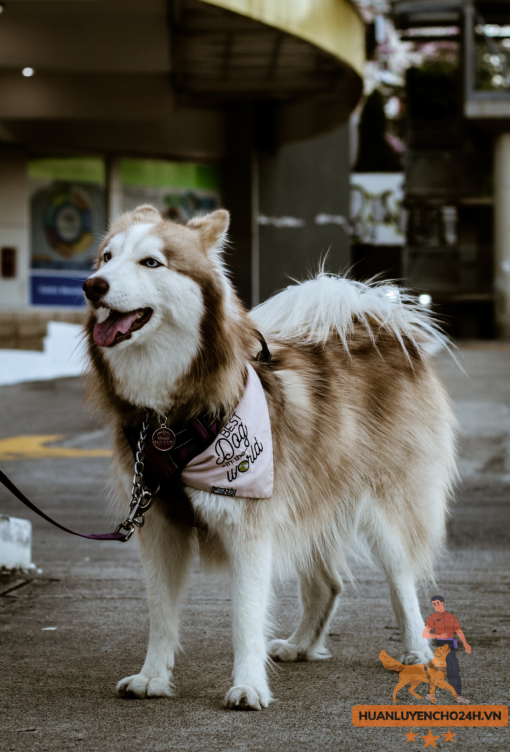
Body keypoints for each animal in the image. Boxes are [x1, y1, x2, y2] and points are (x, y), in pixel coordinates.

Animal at [83, 206, 458, 712]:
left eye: (151, 263)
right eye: (107, 256)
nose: (93, 285)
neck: (170, 419)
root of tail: (377, 325)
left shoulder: (249, 525)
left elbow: (246, 616)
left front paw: (248, 687)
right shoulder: (158, 523)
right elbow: (160, 614)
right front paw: (152, 677)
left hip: (385, 504)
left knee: (402, 579)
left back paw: (418, 651)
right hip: (308, 497)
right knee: (328, 583)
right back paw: (301, 645)